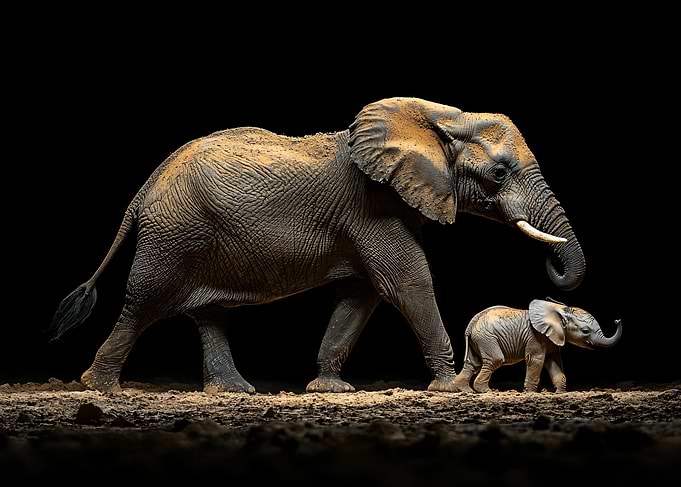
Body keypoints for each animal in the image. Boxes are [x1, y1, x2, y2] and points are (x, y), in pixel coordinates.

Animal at [50, 97, 585, 394]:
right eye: (499, 172)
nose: (552, 269)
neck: (436, 118)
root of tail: (144, 189)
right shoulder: (372, 206)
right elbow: (406, 282)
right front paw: (449, 388)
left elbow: (361, 295)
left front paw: (331, 389)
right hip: (173, 235)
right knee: (142, 303)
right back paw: (102, 389)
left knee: (207, 313)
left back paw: (235, 393)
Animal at [453, 300, 622, 393]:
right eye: (585, 331)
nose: (617, 320)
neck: (559, 312)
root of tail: (471, 325)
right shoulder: (536, 337)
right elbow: (536, 361)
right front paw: (530, 393)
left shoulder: (553, 338)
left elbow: (554, 362)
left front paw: (560, 393)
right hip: (487, 338)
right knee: (495, 360)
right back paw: (487, 391)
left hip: (479, 340)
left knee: (473, 363)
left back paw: (467, 391)